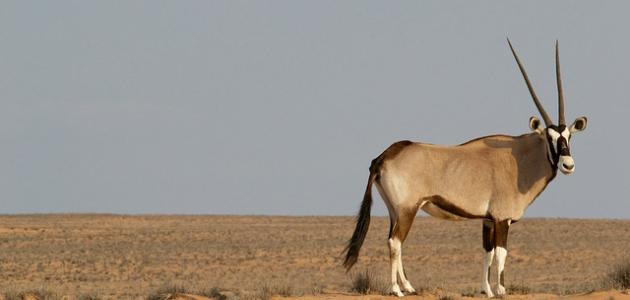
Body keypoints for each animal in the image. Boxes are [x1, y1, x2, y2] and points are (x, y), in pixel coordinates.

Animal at [344, 39, 592, 298]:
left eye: (568, 136)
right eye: (549, 137)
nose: (568, 164)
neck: (519, 160)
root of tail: (384, 156)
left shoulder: (488, 220)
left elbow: (487, 253)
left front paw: (487, 290)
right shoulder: (502, 219)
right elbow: (501, 253)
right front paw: (501, 290)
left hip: (396, 211)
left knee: (395, 241)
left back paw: (409, 286)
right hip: (407, 210)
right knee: (395, 242)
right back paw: (396, 289)